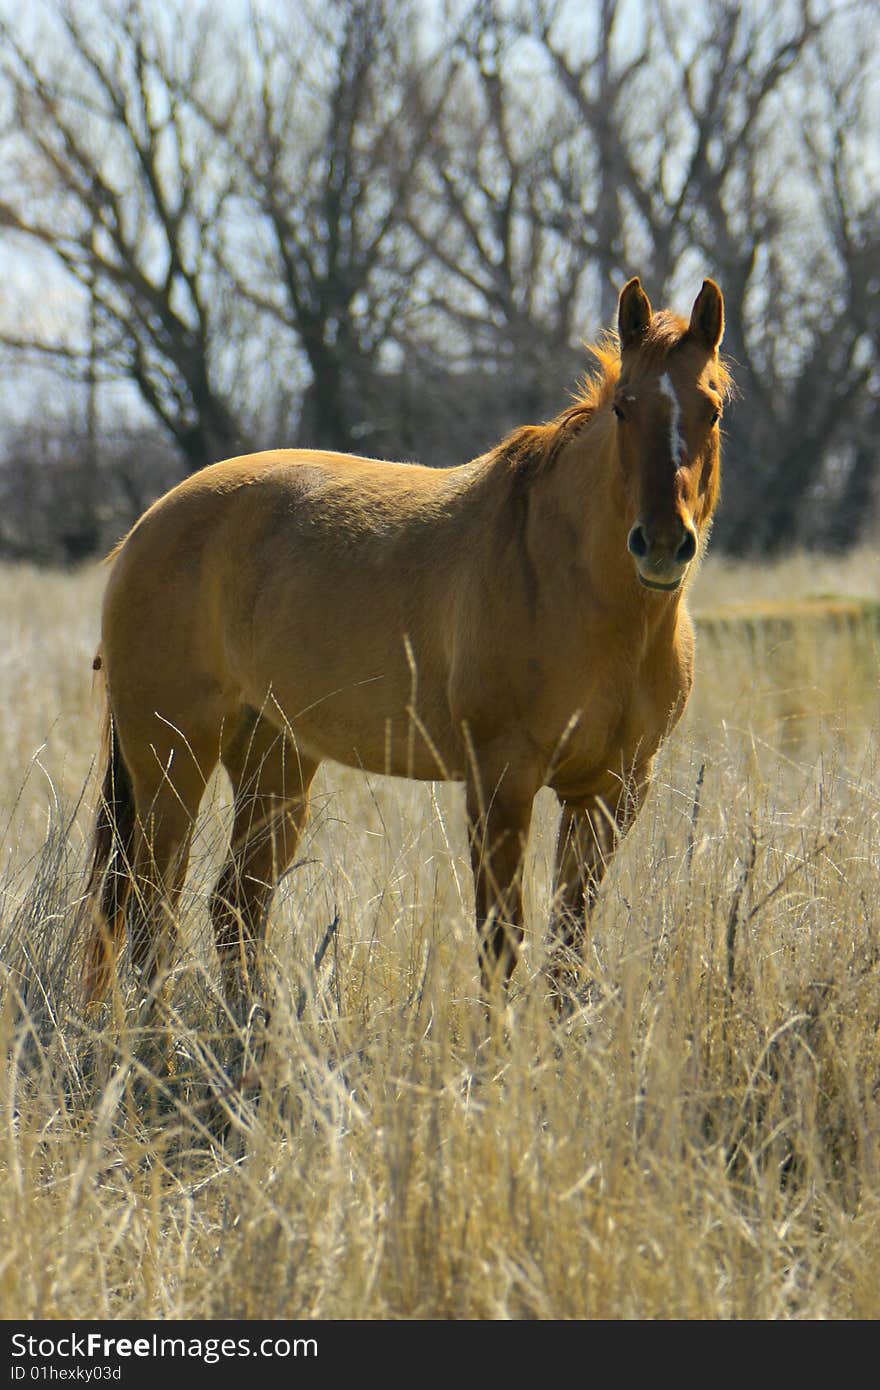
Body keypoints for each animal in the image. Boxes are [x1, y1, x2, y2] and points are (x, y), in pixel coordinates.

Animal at [80, 279, 728, 1023]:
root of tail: (145, 527)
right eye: (624, 407)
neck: (581, 591)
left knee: (233, 907)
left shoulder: (611, 791)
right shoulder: (500, 783)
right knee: (148, 912)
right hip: (172, 761)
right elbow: (501, 940)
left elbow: (568, 945)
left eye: (711, 408)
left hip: (273, 760)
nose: (661, 543)